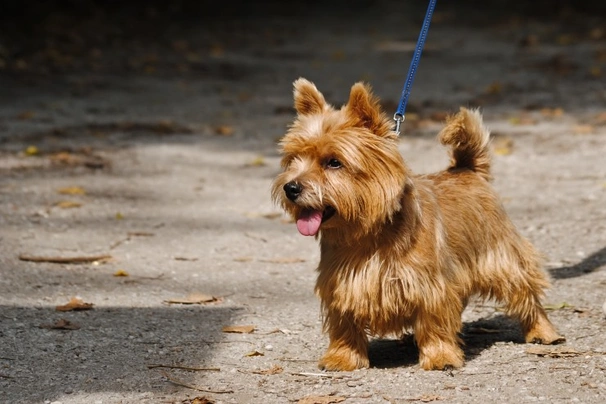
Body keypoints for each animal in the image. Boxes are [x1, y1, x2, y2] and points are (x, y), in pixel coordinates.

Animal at [274, 77, 568, 370]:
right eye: (294, 159)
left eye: (334, 162)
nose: (291, 188)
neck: (368, 234)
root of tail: (467, 170)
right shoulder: (341, 285)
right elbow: (345, 325)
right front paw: (342, 357)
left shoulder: (430, 285)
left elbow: (434, 321)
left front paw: (441, 356)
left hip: (501, 258)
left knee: (525, 292)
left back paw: (543, 332)